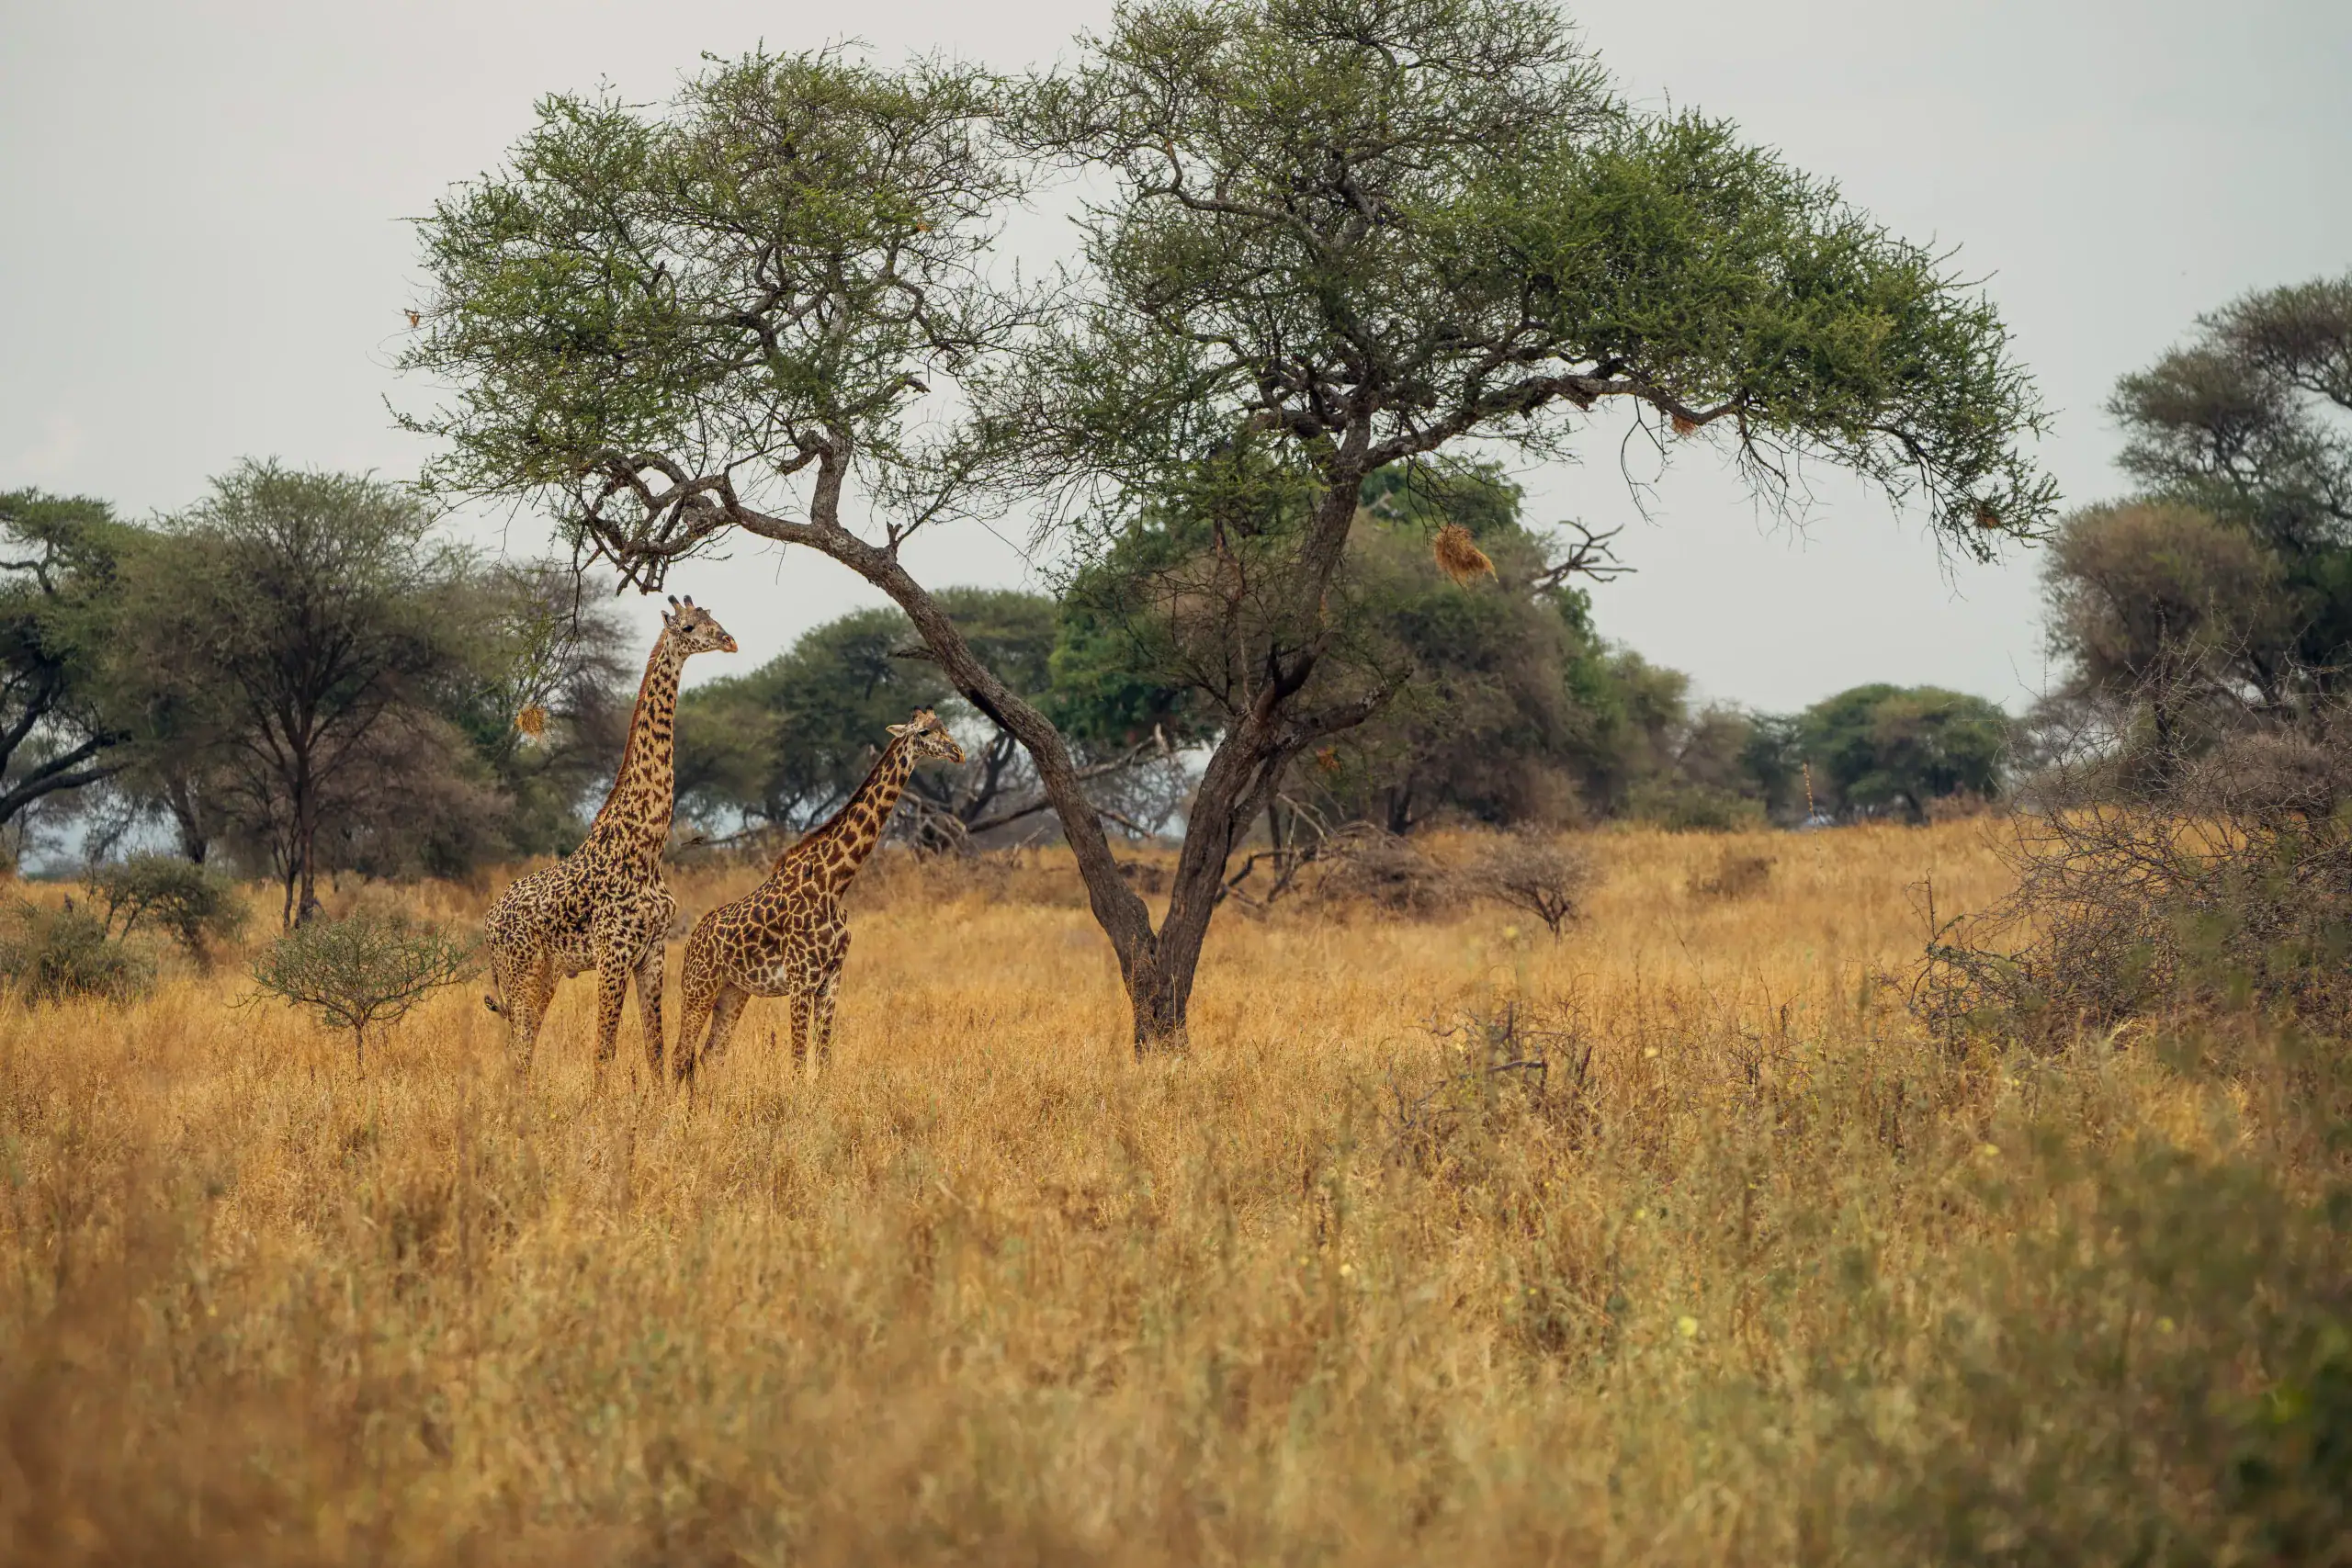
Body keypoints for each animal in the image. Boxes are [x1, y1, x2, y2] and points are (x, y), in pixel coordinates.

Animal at [483, 595, 736, 1081]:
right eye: (689, 626)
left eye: (715, 618)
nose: (730, 641)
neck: (646, 847)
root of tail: (487, 923)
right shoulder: (614, 952)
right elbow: (604, 1049)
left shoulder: (653, 951)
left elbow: (655, 1048)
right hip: (520, 971)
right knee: (519, 1050)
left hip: (545, 975)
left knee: (522, 1048)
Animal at [672, 708, 965, 1087]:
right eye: (925, 732)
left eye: (945, 726)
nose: (958, 752)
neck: (834, 883)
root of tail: (692, 939)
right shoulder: (801, 979)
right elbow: (798, 1063)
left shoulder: (831, 979)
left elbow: (824, 1061)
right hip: (699, 987)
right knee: (681, 1056)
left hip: (734, 991)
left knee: (712, 1054)